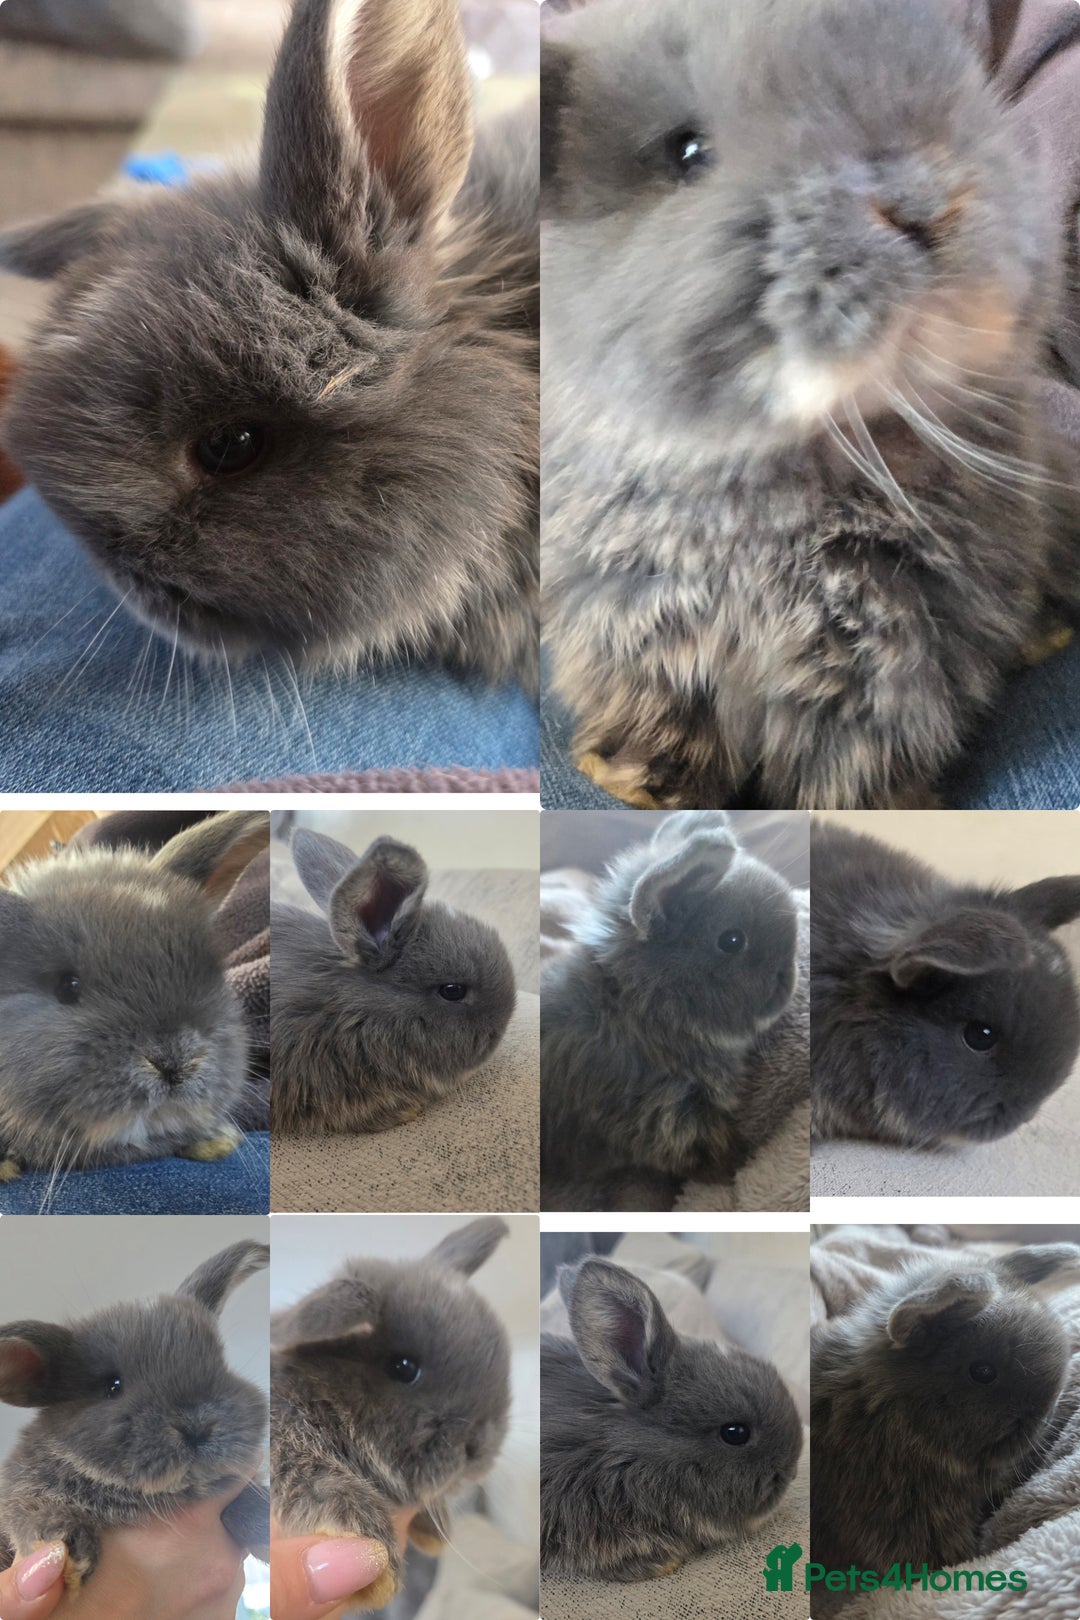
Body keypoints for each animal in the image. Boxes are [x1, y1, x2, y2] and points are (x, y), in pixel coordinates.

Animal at [0, 1239, 270, 1592]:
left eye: (220, 1364)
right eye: (113, 1387)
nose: (198, 1425)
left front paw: (264, 1523)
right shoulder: (18, 1491)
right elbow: (30, 1509)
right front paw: (68, 1543)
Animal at [541, 0, 1080, 809]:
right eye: (688, 153)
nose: (926, 204)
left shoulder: (897, 652)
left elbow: (853, 751)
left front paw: (882, 808)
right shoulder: (631, 626)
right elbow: (663, 707)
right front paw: (639, 777)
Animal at [541, 812, 803, 1207]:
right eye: (732, 940)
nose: (789, 978)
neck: (639, 1007)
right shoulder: (670, 1117)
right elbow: (714, 1155)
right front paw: (741, 1164)